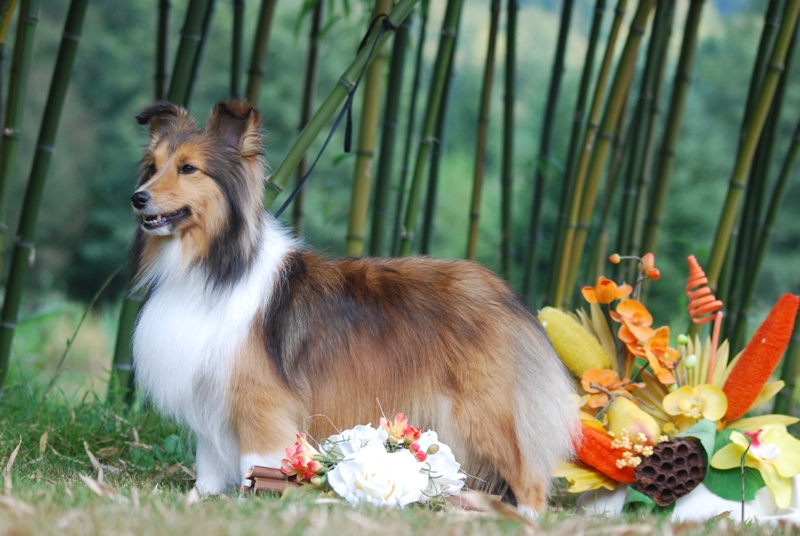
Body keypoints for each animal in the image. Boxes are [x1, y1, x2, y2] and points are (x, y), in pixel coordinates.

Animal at [130, 100, 580, 510]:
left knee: (529, 475)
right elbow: (208, 463)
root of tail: (506, 294)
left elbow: (256, 462)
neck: (214, 267)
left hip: (486, 414)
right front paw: (200, 499)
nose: (137, 198)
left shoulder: (259, 400)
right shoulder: (209, 393)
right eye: (152, 167)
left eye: (189, 168)